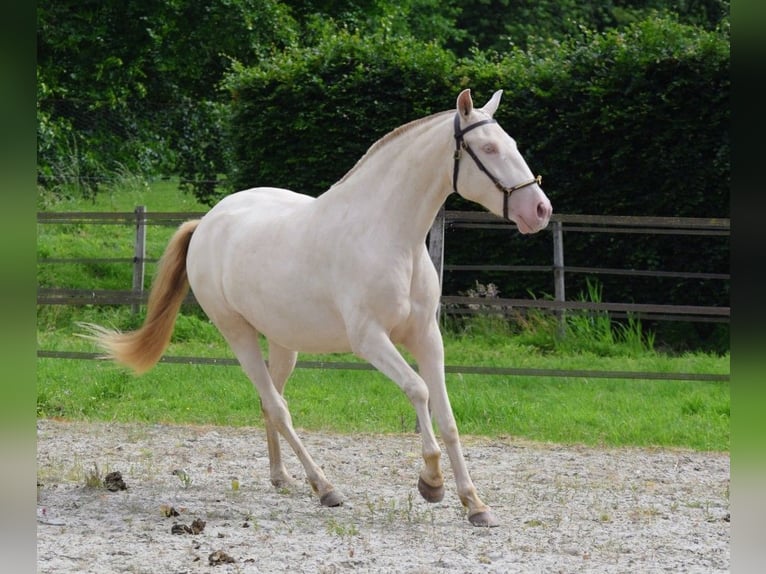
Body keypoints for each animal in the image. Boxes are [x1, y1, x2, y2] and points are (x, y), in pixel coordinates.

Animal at [83, 89, 552, 527]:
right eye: (488, 149)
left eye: (511, 143)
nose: (540, 210)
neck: (388, 235)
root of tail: (207, 223)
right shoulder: (370, 340)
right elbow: (418, 391)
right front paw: (431, 484)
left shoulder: (426, 337)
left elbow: (448, 416)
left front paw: (475, 504)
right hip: (237, 332)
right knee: (277, 406)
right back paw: (325, 487)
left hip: (283, 341)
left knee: (269, 401)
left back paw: (284, 478)